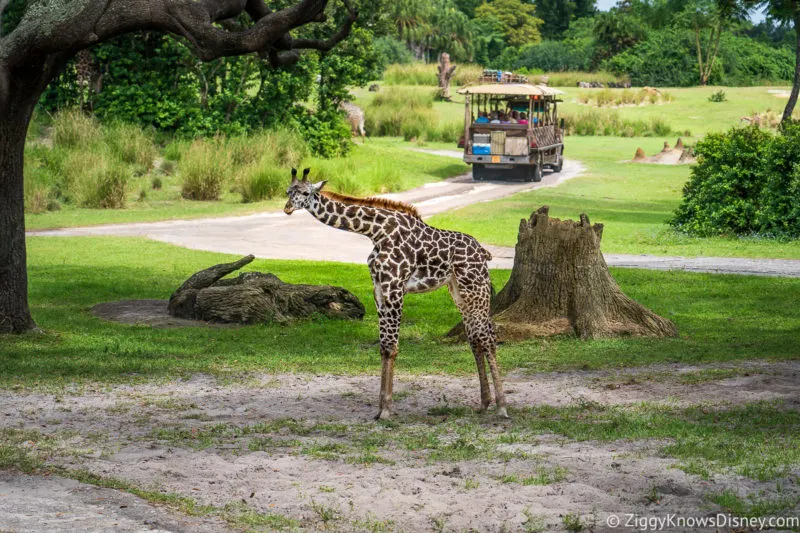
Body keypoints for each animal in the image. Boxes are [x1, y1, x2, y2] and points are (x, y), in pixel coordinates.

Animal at [286, 168, 506, 418]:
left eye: (305, 192)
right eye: (288, 191)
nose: (287, 208)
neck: (376, 232)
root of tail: (484, 253)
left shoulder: (394, 287)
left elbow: (391, 346)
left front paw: (386, 410)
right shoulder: (379, 289)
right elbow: (383, 346)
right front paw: (380, 407)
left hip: (476, 289)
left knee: (488, 338)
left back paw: (501, 406)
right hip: (459, 292)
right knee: (475, 339)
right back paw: (484, 403)